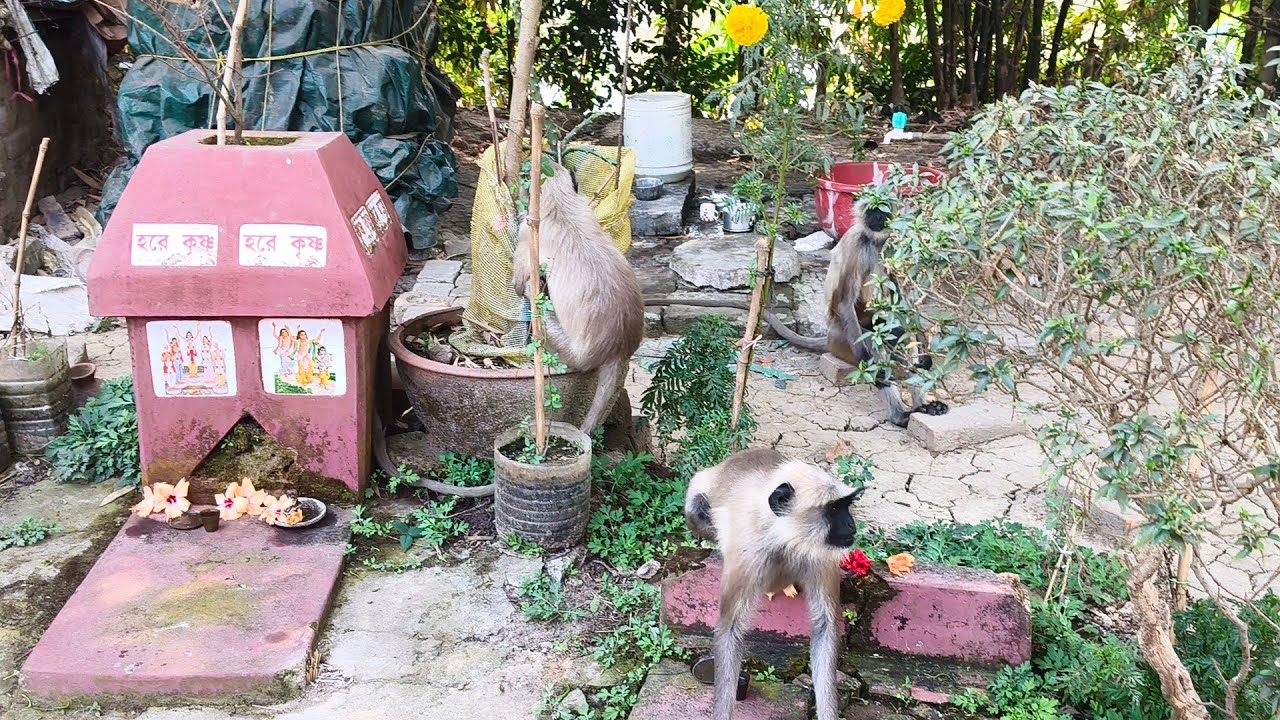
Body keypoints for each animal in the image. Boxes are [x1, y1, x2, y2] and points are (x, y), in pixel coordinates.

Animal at [511, 165, 644, 436]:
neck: (560, 207)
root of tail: (619, 348)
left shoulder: (527, 236)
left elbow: (519, 283)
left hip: (571, 351)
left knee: (536, 303)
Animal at [684, 448, 863, 720]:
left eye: (845, 506)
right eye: (833, 509)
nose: (851, 524)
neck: (784, 536)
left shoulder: (819, 555)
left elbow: (825, 626)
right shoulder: (749, 553)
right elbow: (729, 631)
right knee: (695, 509)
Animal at [824, 201, 948, 427]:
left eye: (882, 211)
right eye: (871, 211)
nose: (877, 220)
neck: (875, 240)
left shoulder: (894, 247)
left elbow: (903, 301)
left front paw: (925, 356)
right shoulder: (858, 244)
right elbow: (846, 302)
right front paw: (871, 364)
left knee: (900, 333)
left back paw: (924, 407)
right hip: (840, 340)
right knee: (875, 342)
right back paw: (900, 417)